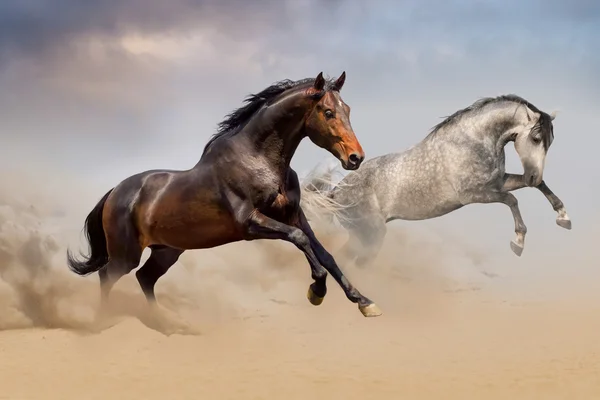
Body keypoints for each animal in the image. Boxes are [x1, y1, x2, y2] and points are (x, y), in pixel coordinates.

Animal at [67, 72, 384, 320]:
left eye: (348, 109)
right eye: (328, 112)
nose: (355, 158)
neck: (258, 160)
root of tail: (115, 192)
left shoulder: (294, 215)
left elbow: (324, 253)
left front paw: (365, 303)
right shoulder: (250, 223)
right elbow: (300, 240)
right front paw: (316, 291)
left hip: (167, 251)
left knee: (145, 277)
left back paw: (165, 322)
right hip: (126, 253)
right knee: (108, 276)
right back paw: (104, 319)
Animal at [304, 95, 572, 268]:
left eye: (550, 140)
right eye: (536, 138)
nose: (533, 174)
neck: (473, 141)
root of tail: (335, 194)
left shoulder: (496, 183)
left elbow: (536, 188)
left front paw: (563, 217)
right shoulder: (475, 194)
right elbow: (512, 200)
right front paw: (518, 242)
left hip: (361, 235)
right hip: (371, 234)